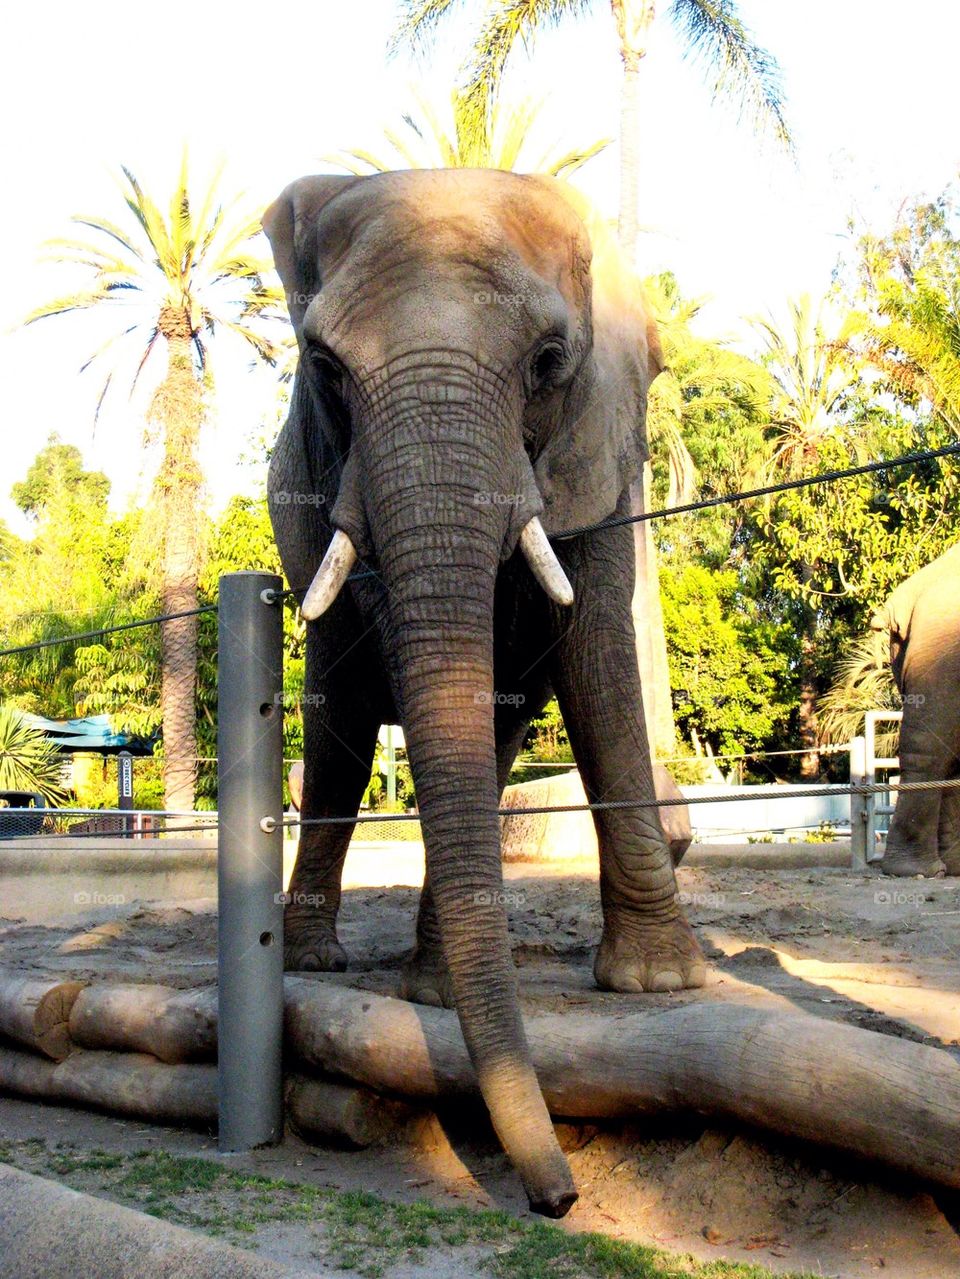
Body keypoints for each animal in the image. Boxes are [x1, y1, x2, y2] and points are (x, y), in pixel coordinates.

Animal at [262, 169, 706, 1217]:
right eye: (323, 365)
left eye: (548, 361)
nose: (561, 1199)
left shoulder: (599, 446)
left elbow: (595, 656)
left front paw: (658, 984)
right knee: (338, 738)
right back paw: (315, 963)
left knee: (490, 736)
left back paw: (427, 986)